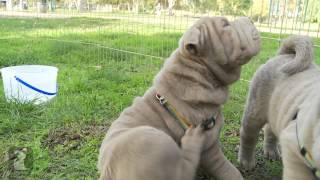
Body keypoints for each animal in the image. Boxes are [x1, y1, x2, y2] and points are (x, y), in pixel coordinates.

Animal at [99, 16, 262, 180]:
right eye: (225, 24)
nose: (249, 19)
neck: (197, 72)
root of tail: (107, 173)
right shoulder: (210, 145)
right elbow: (227, 169)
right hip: (154, 140)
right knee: (183, 171)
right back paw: (192, 139)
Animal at [238, 35, 320, 179]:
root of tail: (284, 55)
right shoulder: (294, 150)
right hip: (255, 110)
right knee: (248, 135)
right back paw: (246, 161)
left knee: (270, 131)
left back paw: (271, 153)